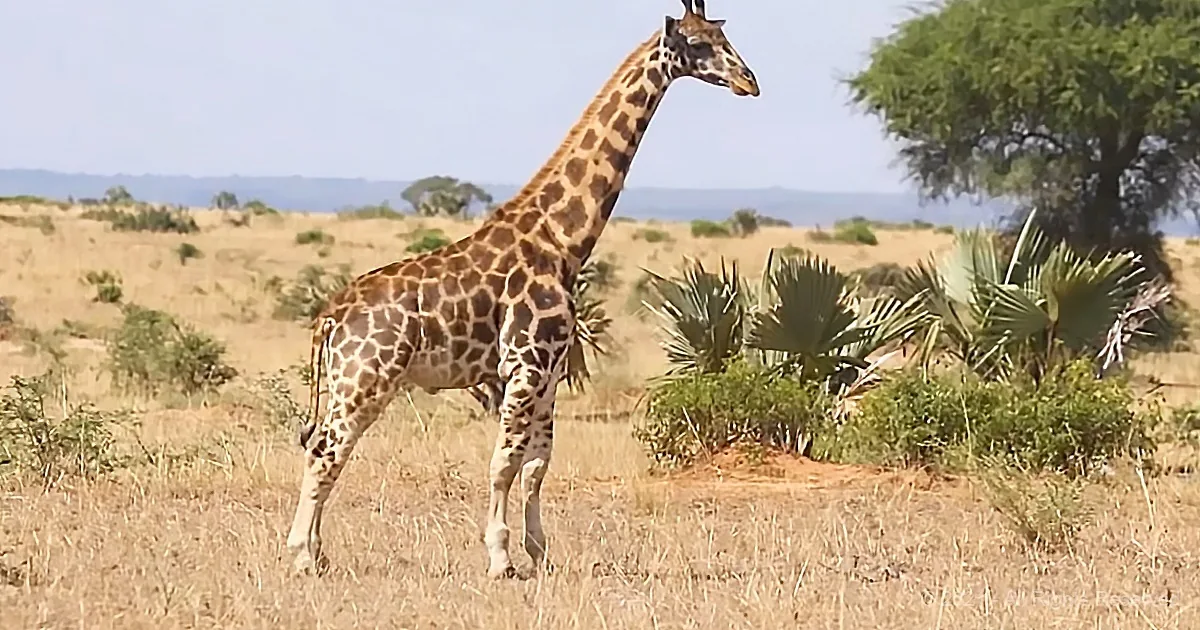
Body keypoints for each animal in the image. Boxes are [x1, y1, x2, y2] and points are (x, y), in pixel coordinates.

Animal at [285, 0, 760, 579]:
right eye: (697, 43)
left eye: (723, 35)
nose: (749, 81)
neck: (562, 240)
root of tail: (330, 316)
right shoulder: (525, 364)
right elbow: (503, 462)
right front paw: (500, 557)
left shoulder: (551, 370)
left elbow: (536, 464)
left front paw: (538, 553)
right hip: (366, 380)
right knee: (326, 451)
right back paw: (302, 555)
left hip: (341, 382)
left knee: (320, 446)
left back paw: (318, 551)